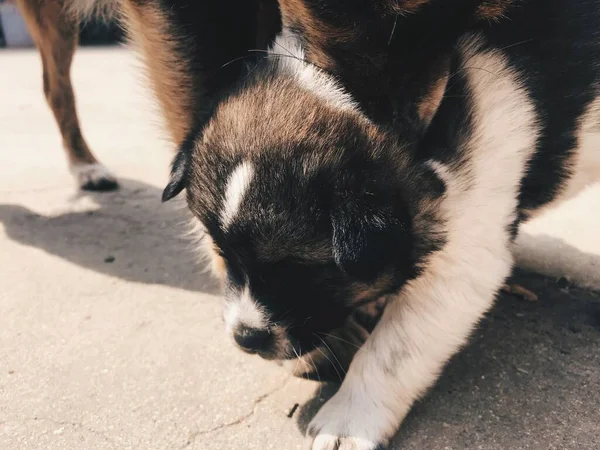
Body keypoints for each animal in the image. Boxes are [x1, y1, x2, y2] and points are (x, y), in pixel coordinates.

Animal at [25, 0, 600, 450]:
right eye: (227, 257)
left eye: (300, 270)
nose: (246, 338)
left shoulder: (465, 249)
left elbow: (394, 348)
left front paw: (348, 420)